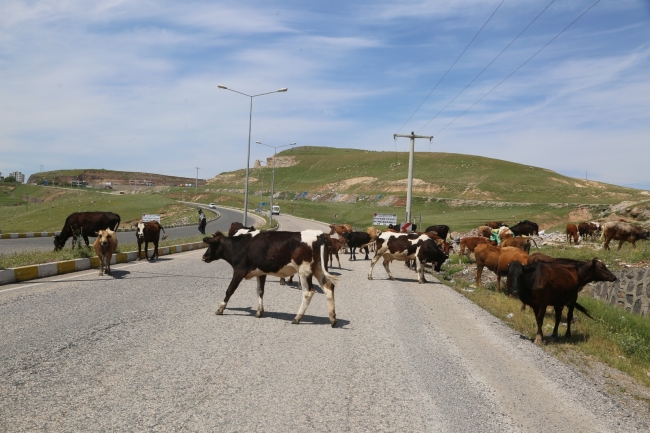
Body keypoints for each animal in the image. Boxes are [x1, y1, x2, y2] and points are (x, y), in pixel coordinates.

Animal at [200, 230, 336, 324]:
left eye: (211, 245)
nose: (203, 257)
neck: (239, 245)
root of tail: (319, 234)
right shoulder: (261, 273)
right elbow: (260, 291)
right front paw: (259, 311)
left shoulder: (239, 271)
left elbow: (229, 290)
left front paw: (220, 308)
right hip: (318, 268)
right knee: (329, 286)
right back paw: (333, 319)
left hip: (304, 271)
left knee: (308, 292)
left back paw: (297, 318)